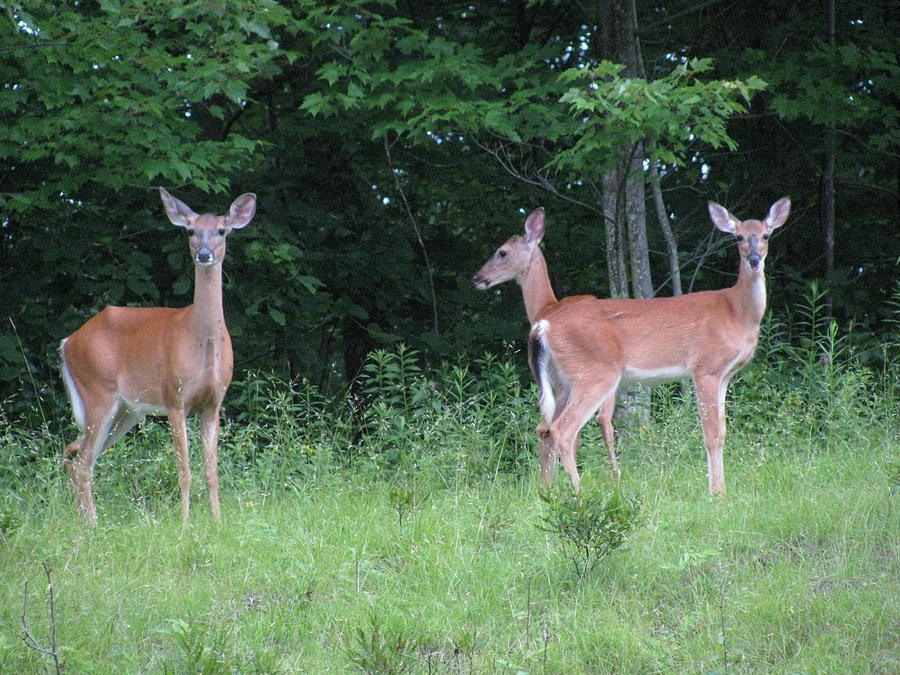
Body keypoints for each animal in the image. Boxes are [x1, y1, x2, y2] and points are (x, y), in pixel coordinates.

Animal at [59, 187, 256, 524]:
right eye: (190, 231)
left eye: (222, 230)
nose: (205, 254)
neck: (202, 343)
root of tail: (68, 341)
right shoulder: (174, 397)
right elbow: (184, 470)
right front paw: (185, 523)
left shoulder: (213, 403)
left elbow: (212, 471)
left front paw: (217, 521)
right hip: (98, 393)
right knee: (82, 462)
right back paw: (93, 525)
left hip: (127, 411)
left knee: (75, 455)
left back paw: (84, 523)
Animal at [474, 198, 792, 494]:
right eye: (738, 237)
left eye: (766, 235)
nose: (754, 259)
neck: (736, 311)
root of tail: (543, 324)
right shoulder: (705, 367)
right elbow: (711, 434)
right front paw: (716, 494)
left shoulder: (725, 375)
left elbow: (723, 432)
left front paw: (721, 490)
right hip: (595, 374)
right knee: (563, 429)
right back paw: (580, 492)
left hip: (567, 380)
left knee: (547, 428)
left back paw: (552, 490)